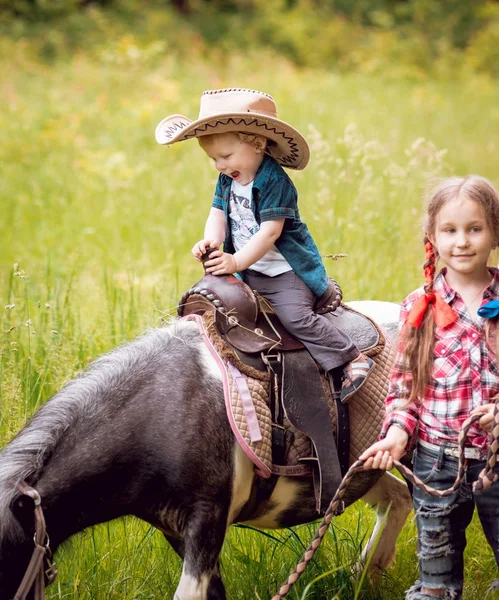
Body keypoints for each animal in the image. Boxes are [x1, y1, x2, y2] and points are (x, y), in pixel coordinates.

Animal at [0, 300, 412, 600]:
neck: (160, 412)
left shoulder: (207, 519)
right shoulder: (179, 533)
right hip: (358, 468)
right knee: (397, 497)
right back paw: (367, 572)